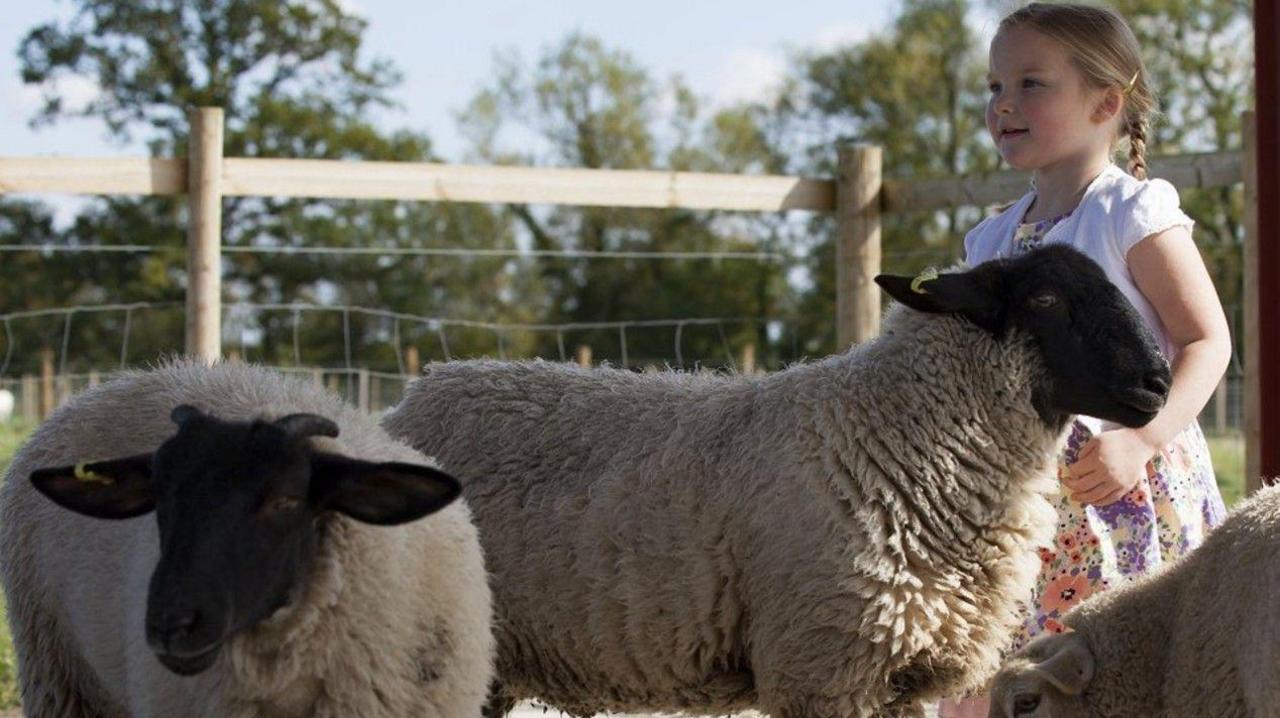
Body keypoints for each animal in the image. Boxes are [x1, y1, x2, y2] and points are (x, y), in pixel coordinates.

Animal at [381, 244, 1173, 718]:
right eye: (1045, 301)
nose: (1158, 383)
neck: (892, 432)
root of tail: (407, 402)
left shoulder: (903, 678)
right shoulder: (822, 666)